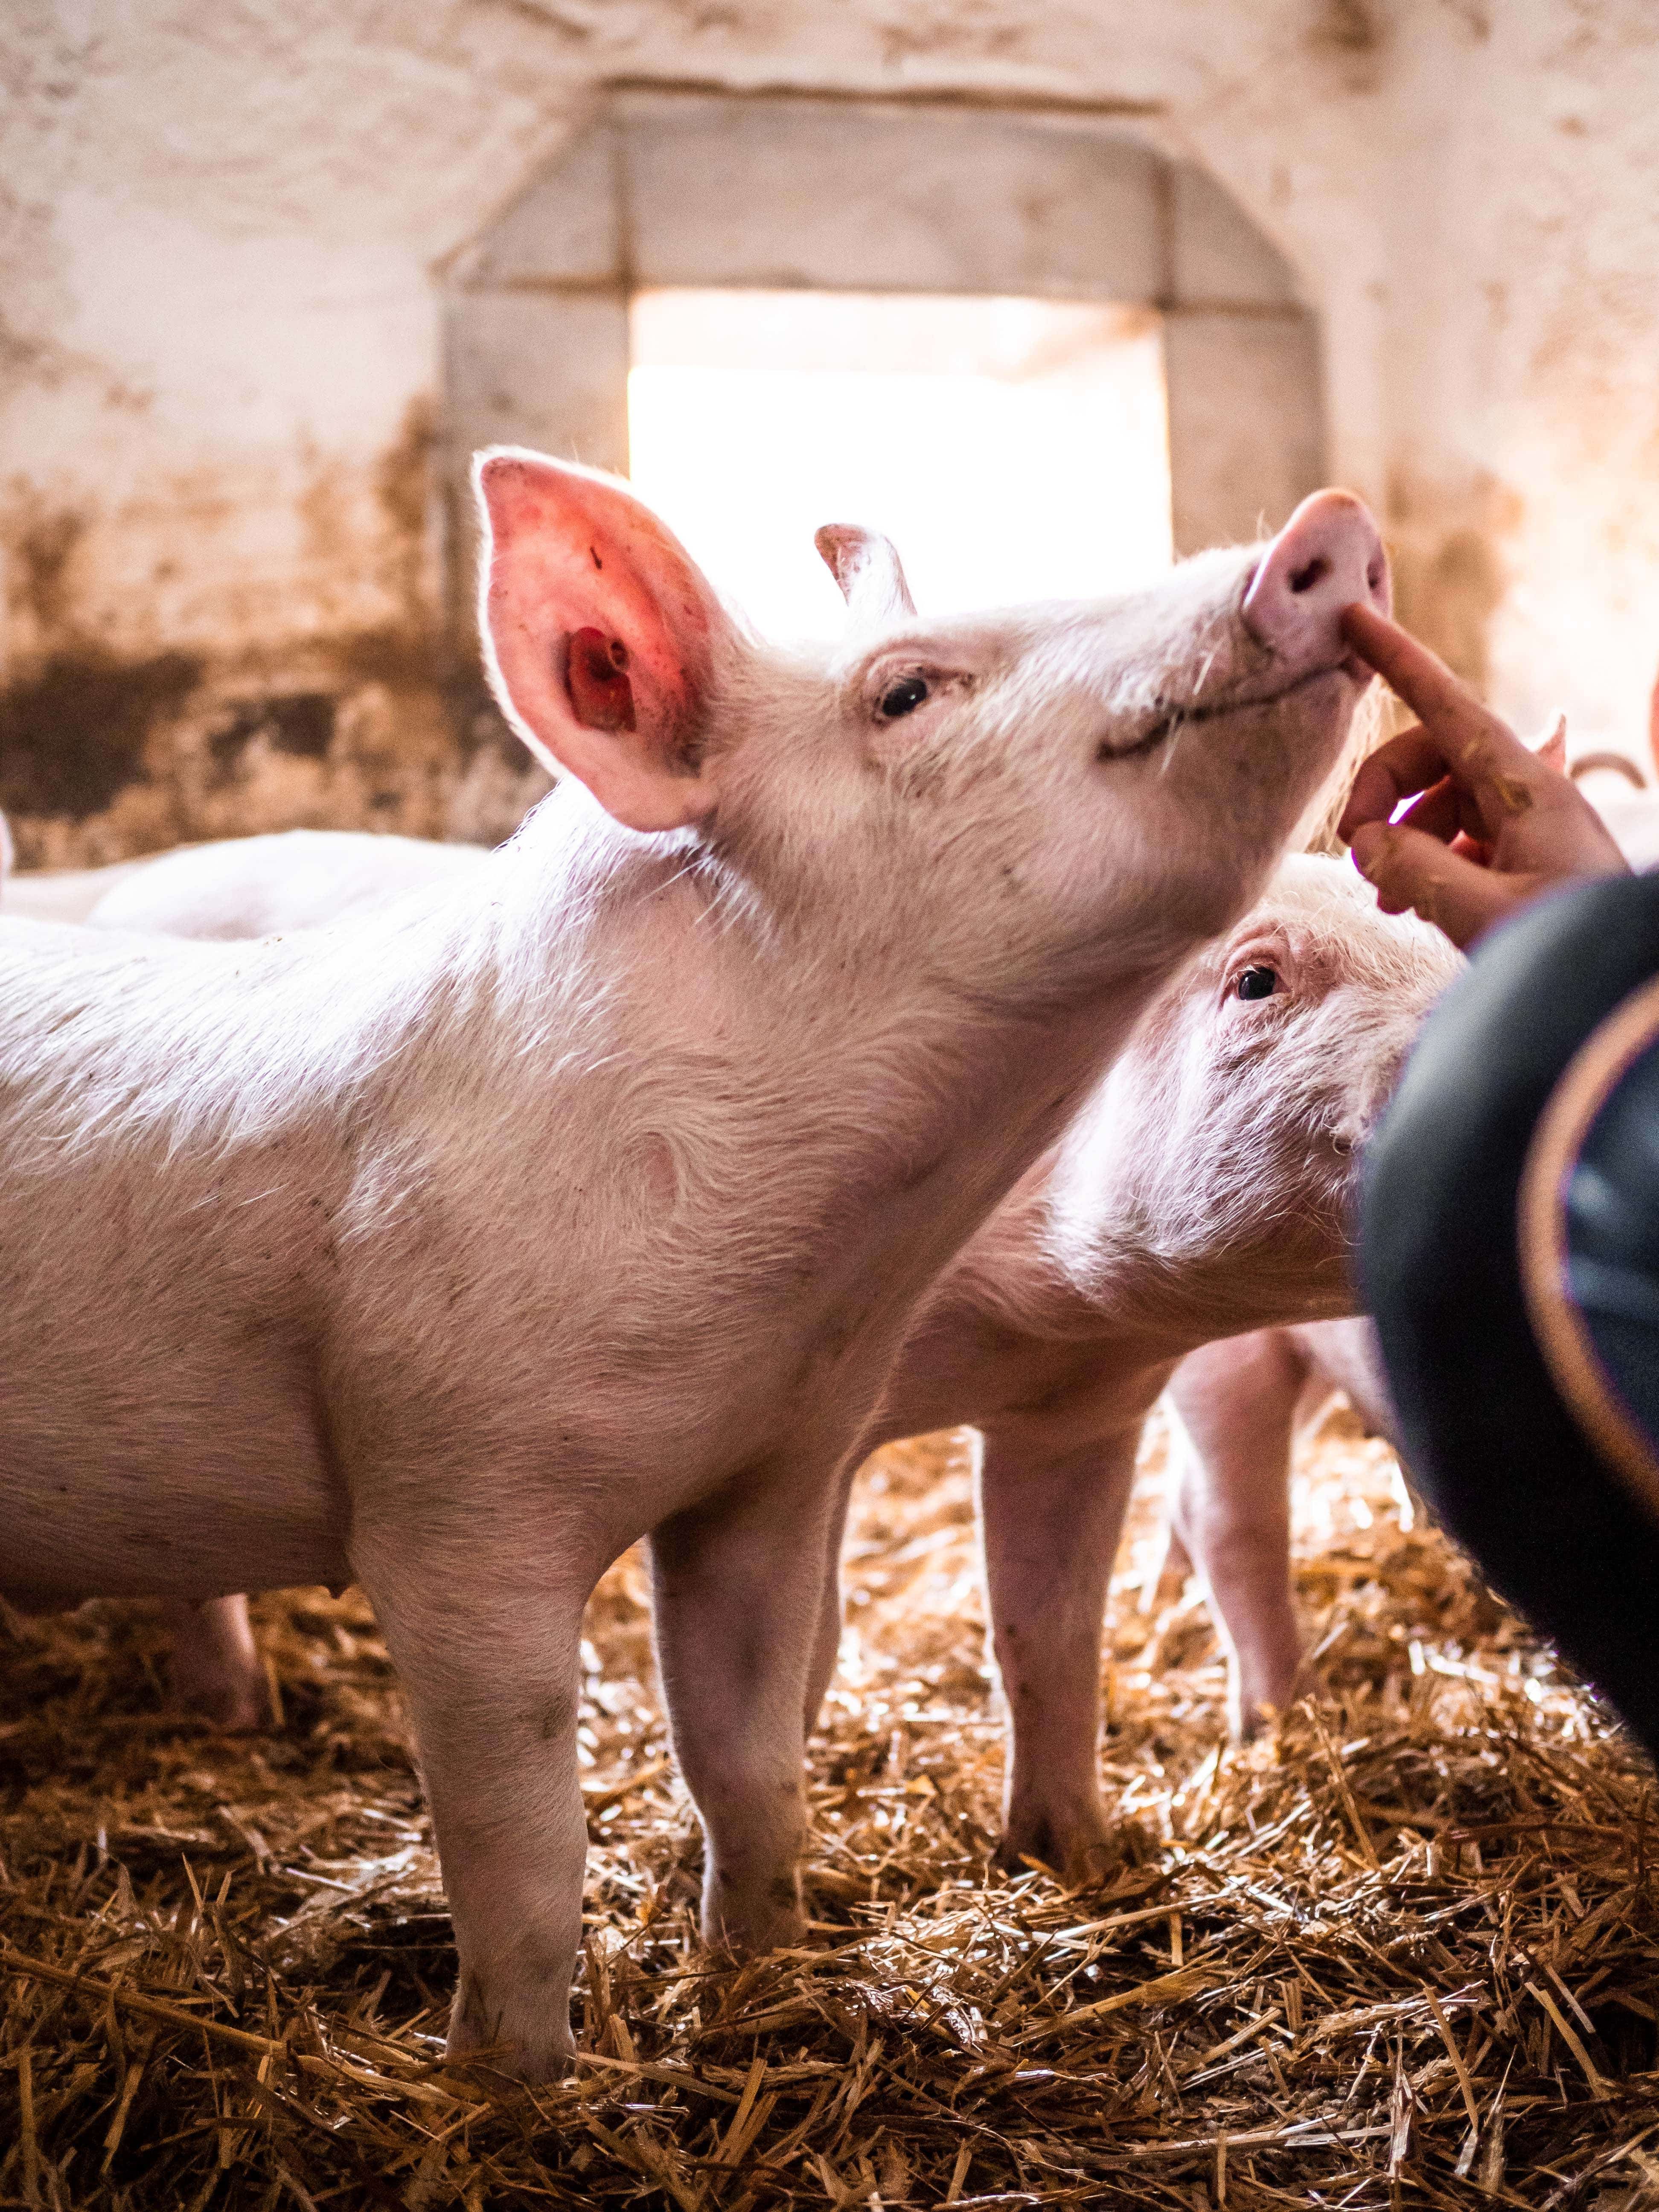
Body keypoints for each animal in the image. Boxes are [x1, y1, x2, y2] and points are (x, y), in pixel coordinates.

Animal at [0, 456, 1382, 2075]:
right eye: (903, 691)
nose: (1330, 526)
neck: (817, 1267)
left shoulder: (776, 1465)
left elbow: (757, 1752)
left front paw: (772, 1973)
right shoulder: (450, 1500)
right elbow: (523, 1845)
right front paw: (517, 2087)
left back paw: (241, 1716)